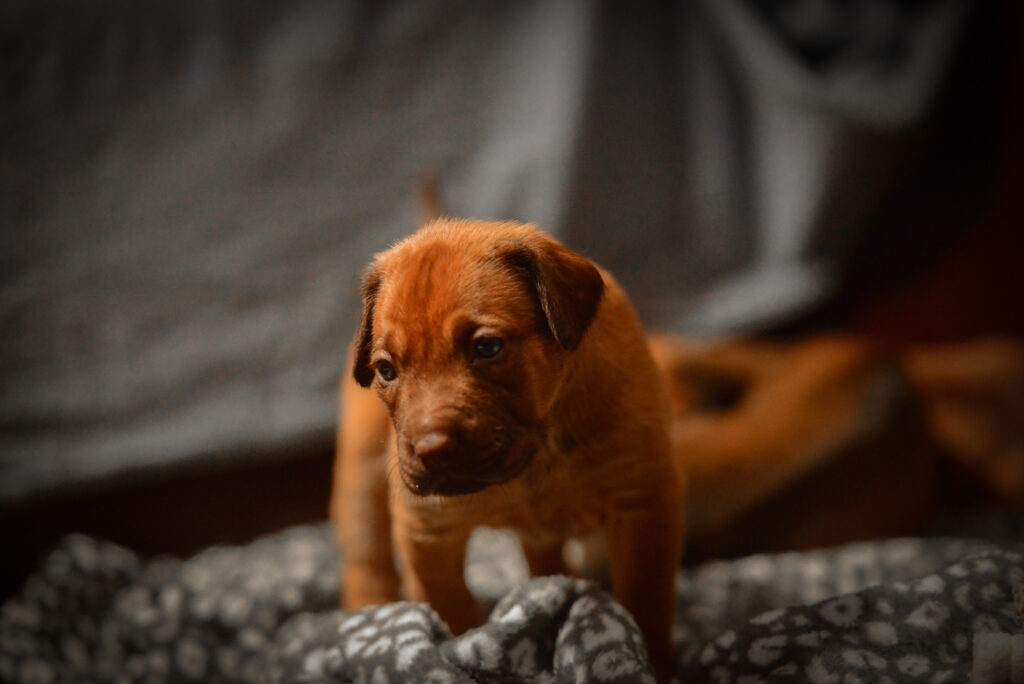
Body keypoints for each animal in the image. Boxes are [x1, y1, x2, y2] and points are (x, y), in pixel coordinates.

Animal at [331, 219, 684, 679]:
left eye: (487, 347)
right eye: (386, 370)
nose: (430, 449)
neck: (534, 460)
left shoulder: (642, 501)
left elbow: (645, 600)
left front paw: (647, 661)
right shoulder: (429, 530)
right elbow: (449, 608)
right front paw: (447, 657)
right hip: (360, 472)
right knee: (366, 552)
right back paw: (368, 620)